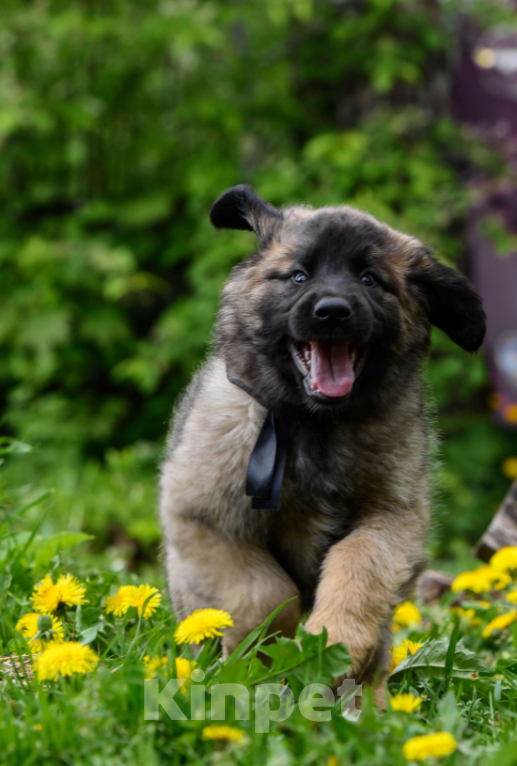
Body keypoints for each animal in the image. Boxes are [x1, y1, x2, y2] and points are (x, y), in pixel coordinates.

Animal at [158, 184, 484, 688]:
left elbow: (358, 567)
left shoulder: (394, 519)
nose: (332, 312)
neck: (317, 423)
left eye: (369, 279)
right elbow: (263, 592)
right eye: (298, 276)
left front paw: (333, 641)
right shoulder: (202, 518)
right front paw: (263, 655)